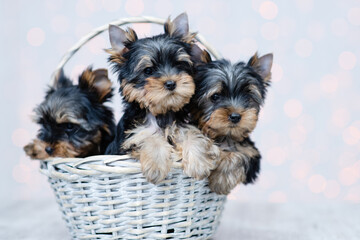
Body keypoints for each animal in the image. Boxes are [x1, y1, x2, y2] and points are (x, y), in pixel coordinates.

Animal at [104, 13, 217, 185]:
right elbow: (149, 137)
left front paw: (199, 164)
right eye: (148, 70)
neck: (162, 112)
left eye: (178, 64)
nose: (171, 83)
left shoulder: (183, 126)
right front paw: (156, 168)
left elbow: (192, 134)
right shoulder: (133, 136)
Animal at [191, 52, 272, 195]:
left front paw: (221, 181)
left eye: (248, 97)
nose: (235, 116)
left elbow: (240, 156)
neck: (225, 136)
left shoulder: (252, 154)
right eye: (215, 96)